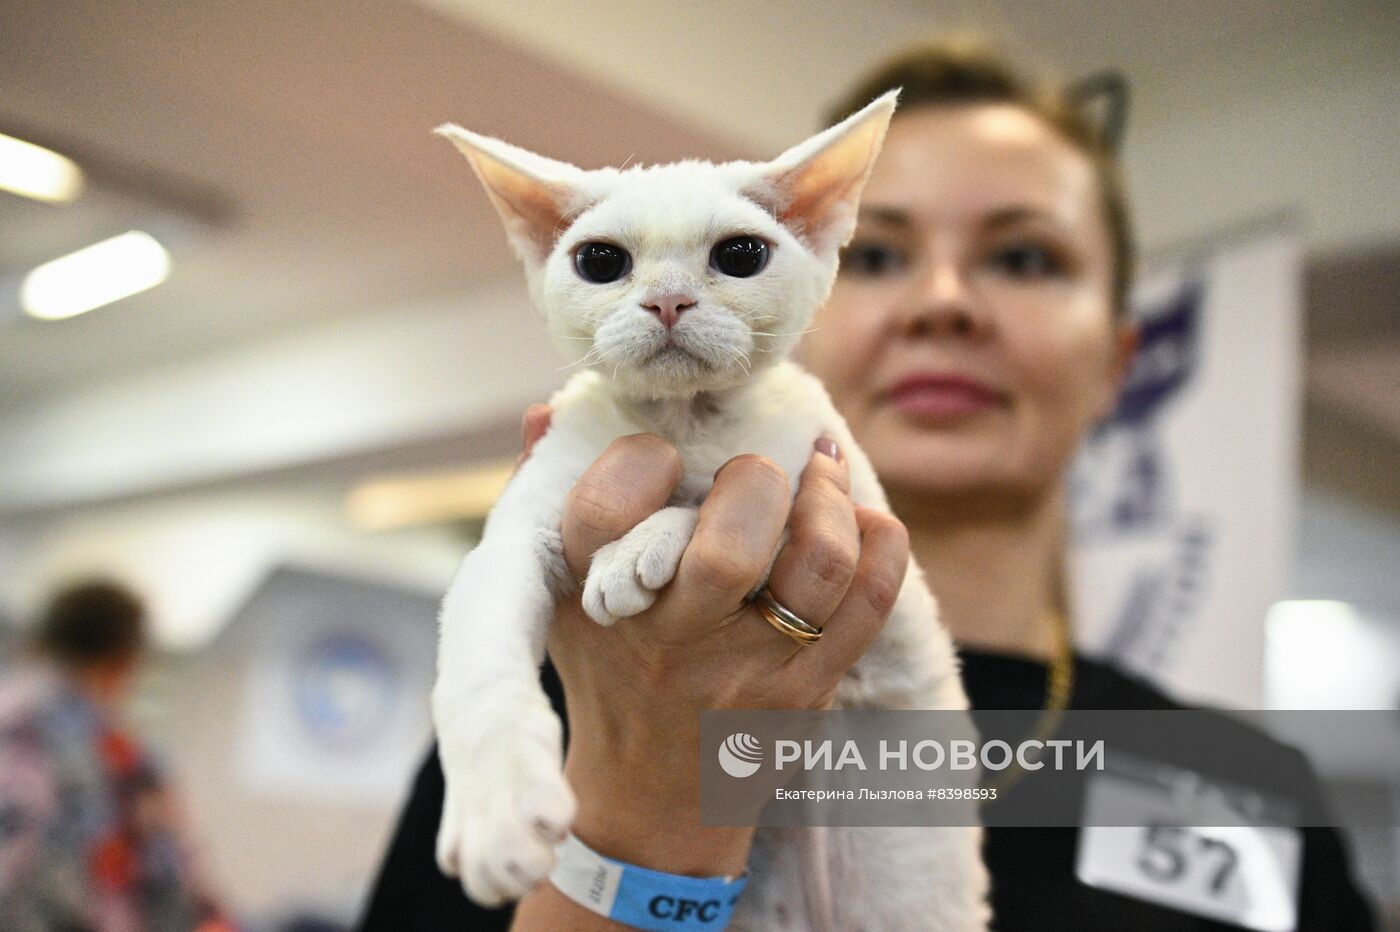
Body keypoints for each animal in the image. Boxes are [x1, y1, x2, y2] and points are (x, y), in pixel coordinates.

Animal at [431, 88, 991, 929]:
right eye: (601, 261)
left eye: (741, 255)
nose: (667, 300)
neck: (684, 425)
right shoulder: (512, 540)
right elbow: (477, 670)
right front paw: (498, 810)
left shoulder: (844, 502)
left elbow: (746, 497)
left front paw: (642, 545)